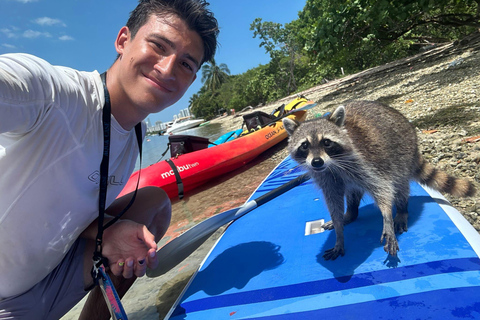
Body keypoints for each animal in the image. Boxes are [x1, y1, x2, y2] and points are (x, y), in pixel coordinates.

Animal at [284, 100, 474, 260]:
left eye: (326, 142)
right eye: (305, 145)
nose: (317, 162)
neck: (332, 165)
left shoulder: (365, 163)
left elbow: (383, 189)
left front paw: (387, 216)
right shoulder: (326, 178)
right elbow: (333, 202)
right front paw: (339, 232)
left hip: (402, 155)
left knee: (400, 186)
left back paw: (402, 210)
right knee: (353, 192)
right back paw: (351, 213)